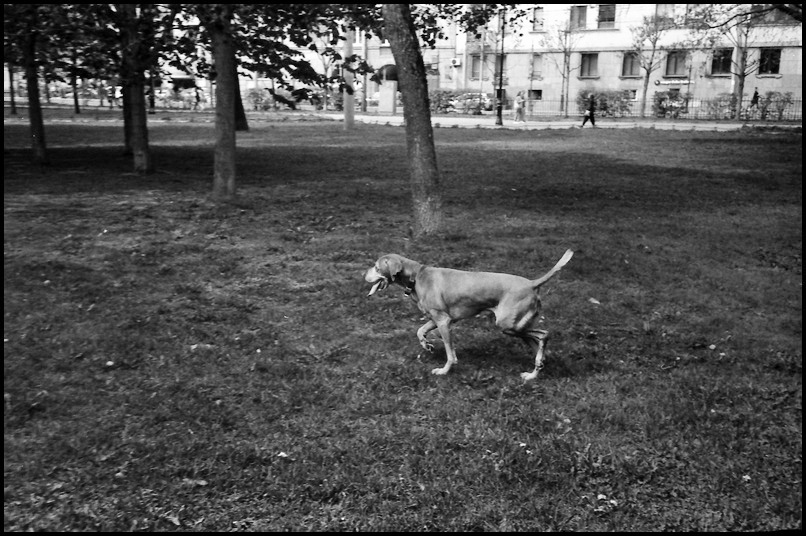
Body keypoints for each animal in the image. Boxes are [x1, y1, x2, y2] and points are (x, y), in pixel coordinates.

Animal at [364, 249, 573, 380]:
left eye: (376, 267)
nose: (363, 275)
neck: (417, 276)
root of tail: (532, 283)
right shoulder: (438, 319)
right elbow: (419, 331)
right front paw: (426, 345)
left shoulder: (444, 321)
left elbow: (450, 353)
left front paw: (444, 371)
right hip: (518, 327)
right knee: (538, 345)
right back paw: (534, 372)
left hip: (508, 325)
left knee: (544, 335)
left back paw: (535, 369)